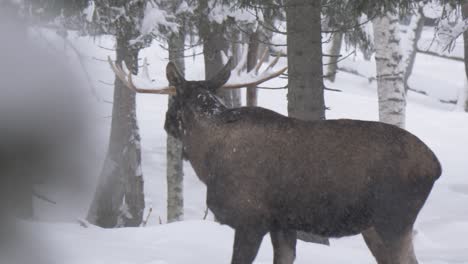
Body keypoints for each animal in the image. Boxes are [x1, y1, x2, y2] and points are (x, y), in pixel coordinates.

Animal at [110, 56, 442, 264]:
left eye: (172, 99)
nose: (167, 122)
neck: (207, 160)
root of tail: (435, 166)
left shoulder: (250, 218)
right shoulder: (282, 223)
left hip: (392, 219)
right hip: (375, 226)